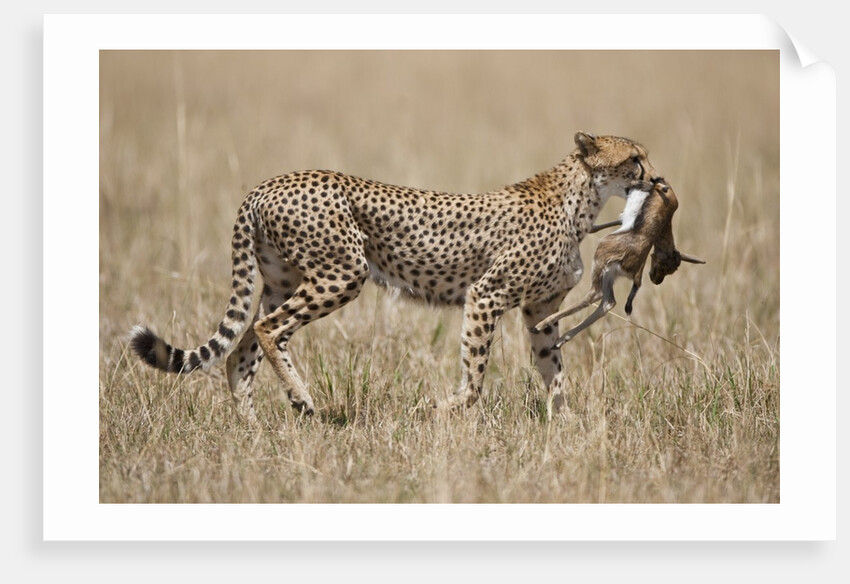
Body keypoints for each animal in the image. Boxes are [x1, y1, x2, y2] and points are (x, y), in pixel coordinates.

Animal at [130, 132, 662, 422]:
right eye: (634, 158)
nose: (658, 181)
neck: (582, 199)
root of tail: (268, 184)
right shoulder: (486, 295)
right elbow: (475, 379)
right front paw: (439, 412)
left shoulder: (540, 309)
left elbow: (555, 373)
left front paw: (567, 426)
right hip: (344, 271)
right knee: (265, 329)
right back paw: (302, 399)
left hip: (282, 280)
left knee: (240, 350)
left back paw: (253, 429)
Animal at [533, 178, 704, 349]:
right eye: (669, 267)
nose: (656, 279)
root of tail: (635, 271)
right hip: (610, 274)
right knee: (608, 303)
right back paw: (559, 340)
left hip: (600, 262)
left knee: (594, 295)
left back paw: (540, 326)